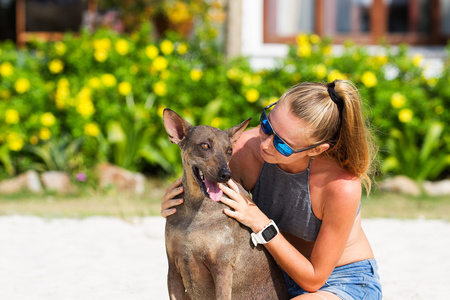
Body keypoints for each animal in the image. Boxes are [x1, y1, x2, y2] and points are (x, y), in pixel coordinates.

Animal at [163, 109, 288, 300]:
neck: (196, 209)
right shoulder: (173, 271)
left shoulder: (222, 269)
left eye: (229, 150)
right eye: (205, 145)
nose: (226, 174)